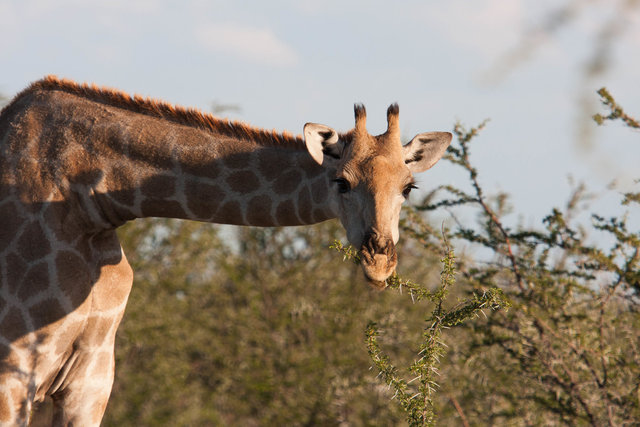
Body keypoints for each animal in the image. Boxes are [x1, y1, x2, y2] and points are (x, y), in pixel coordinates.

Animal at [0, 76, 450, 424]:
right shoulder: (13, 371)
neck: (91, 206)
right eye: (341, 181)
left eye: (408, 188)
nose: (379, 263)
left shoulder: (91, 377)